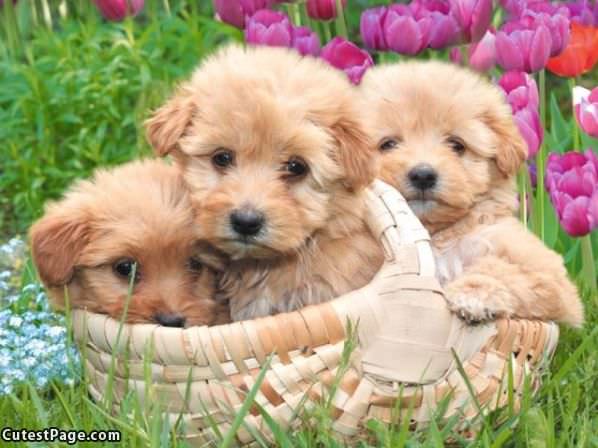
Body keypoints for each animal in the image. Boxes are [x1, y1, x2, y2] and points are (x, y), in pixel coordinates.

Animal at [360, 60, 584, 326]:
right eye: (388, 144)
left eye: (457, 145)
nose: (423, 175)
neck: (436, 235)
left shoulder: (553, 279)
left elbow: (503, 269)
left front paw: (472, 295)